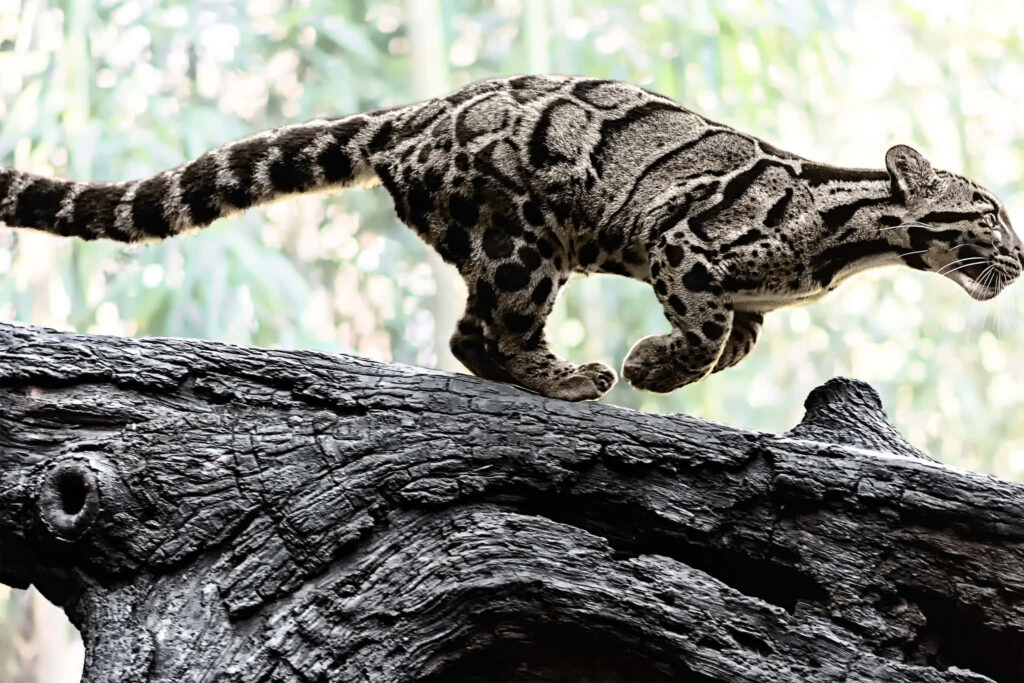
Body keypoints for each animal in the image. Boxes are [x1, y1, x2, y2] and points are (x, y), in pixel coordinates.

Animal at [1, 75, 1020, 401]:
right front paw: (654, 366)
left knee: (469, 332)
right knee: (486, 328)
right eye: (991, 216)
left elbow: (735, 338)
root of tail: (417, 111)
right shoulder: (682, 243)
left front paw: (681, 362)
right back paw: (566, 378)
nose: (1018, 261)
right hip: (526, 238)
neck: (845, 234)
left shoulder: (744, 294)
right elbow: (702, 332)